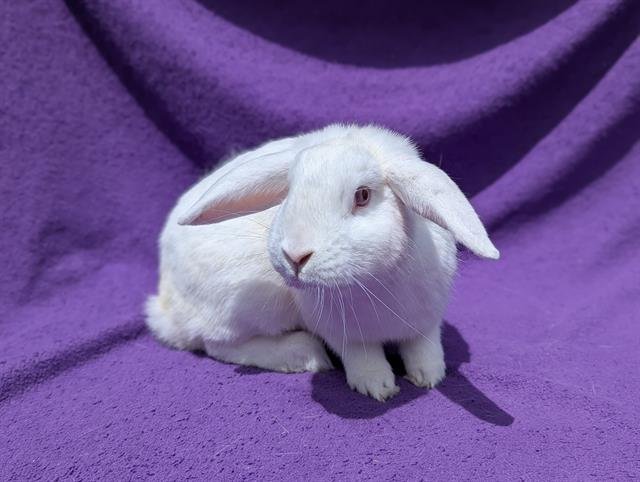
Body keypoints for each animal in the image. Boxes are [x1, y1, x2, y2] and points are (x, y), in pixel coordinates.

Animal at [145, 124, 499, 401]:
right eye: (289, 192)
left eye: (363, 196)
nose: (295, 256)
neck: (371, 281)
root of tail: (165, 302)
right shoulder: (343, 333)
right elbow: (363, 358)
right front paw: (378, 387)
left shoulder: (426, 319)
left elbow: (425, 347)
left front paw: (430, 376)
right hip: (246, 305)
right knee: (216, 344)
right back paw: (304, 354)